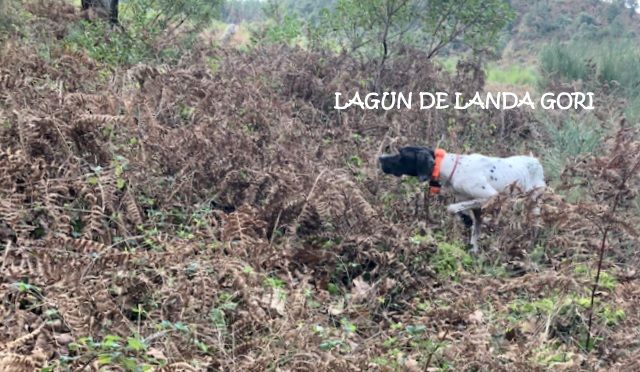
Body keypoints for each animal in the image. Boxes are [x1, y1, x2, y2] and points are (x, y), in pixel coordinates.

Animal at [380, 147, 544, 254]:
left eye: (401, 154)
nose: (380, 157)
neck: (453, 168)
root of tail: (535, 160)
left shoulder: (491, 196)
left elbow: (451, 208)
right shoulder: (475, 205)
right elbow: (472, 225)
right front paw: (473, 248)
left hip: (534, 202)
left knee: (536, 226)